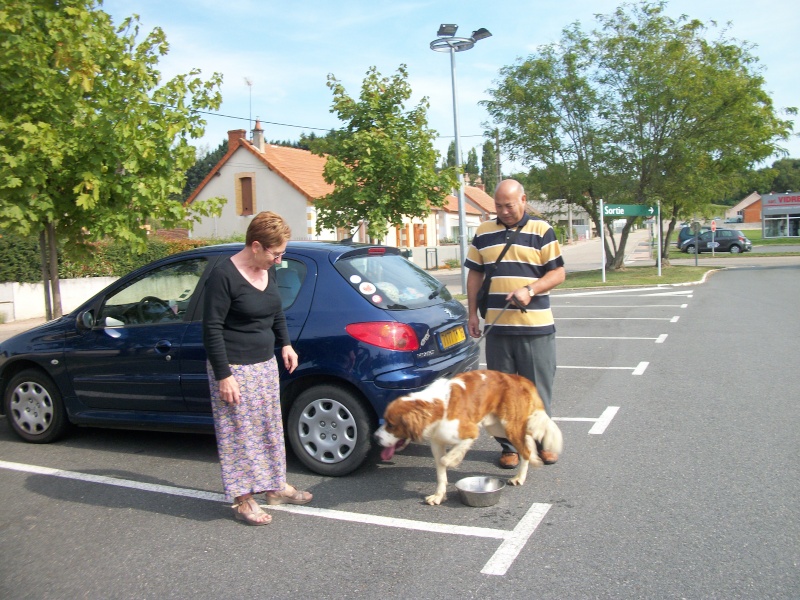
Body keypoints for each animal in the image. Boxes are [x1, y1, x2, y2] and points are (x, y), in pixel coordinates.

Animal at [376, 370, 564, 502]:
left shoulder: (470, 432)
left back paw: (520, 476)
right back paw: (533, 459)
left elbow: (445, 460)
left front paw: (452, 461)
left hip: (509, 426)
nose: (375, 438)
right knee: (528, 439)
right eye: (385, 421)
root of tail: (516, 378)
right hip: (498, 427)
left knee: (525, 450)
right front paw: (439, 495)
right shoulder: (437, 443)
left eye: (391, 424)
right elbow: (440, 470)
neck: (436, 408)